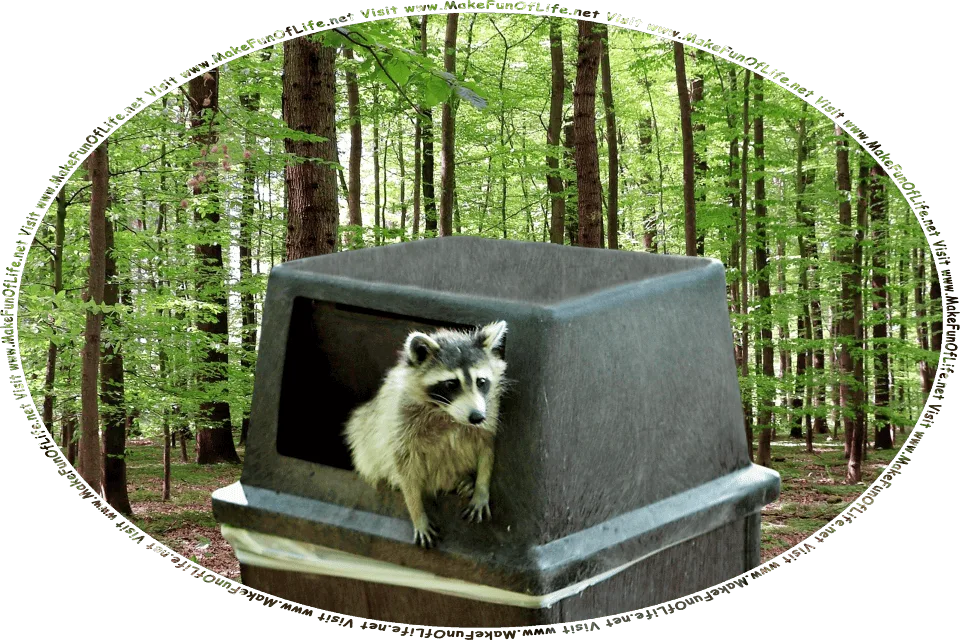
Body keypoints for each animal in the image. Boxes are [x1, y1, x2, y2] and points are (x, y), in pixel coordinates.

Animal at [343, 320, 509, 548]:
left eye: (481, 381)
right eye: (451, 384)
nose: (477, 417)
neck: (447, 414)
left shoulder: (489, 413)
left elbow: (487, 449)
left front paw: (481, 488)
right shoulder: (400, 424)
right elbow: (405, 468)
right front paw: (417, 512)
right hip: (365, 431)